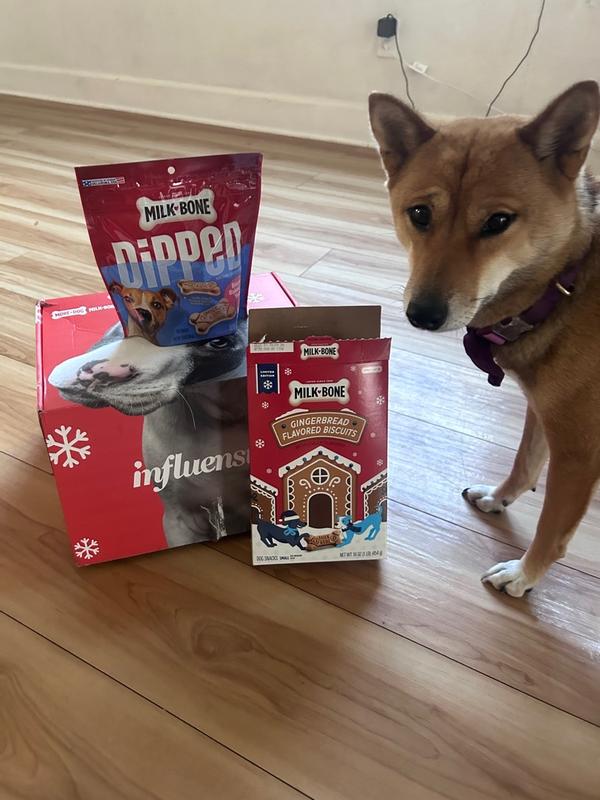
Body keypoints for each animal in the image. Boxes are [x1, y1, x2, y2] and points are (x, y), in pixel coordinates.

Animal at [370, 81, 600, 596]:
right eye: (419, 214)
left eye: (497, 222)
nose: (422, 315)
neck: (568, 281)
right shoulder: (544, 408)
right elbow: (525, 463)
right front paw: (499, 498)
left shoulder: (579, 452)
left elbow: (552, 528)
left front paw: (523, 574)